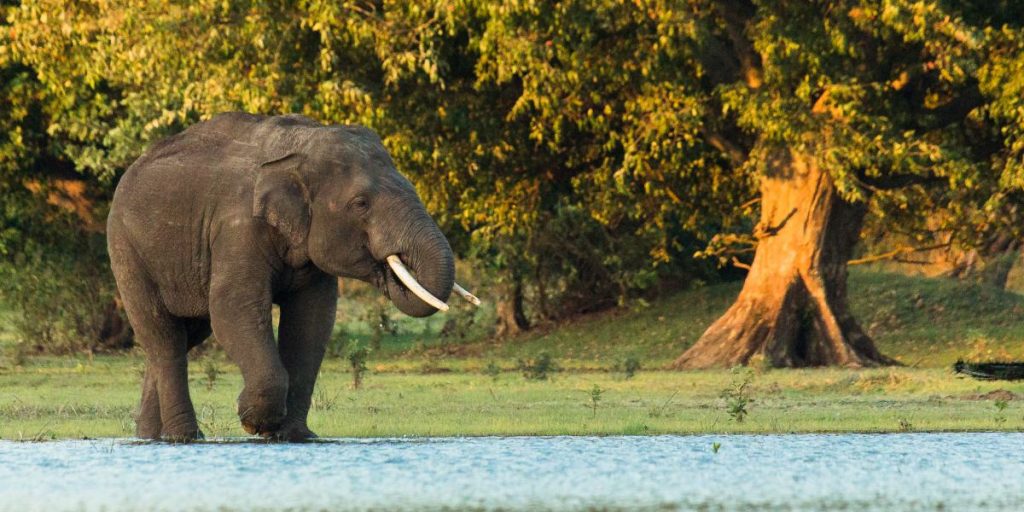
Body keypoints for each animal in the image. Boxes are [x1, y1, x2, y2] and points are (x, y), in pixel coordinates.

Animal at [108, 112, 475, 440]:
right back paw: (184, 437)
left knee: (185, 336)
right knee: (163, 335)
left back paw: (152, 437)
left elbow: (311, 322)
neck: (302, 148)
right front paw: (252, 421)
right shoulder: (237, 228)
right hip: (127, 253)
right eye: (360, 203)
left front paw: (296, 436)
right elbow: (233, 308)